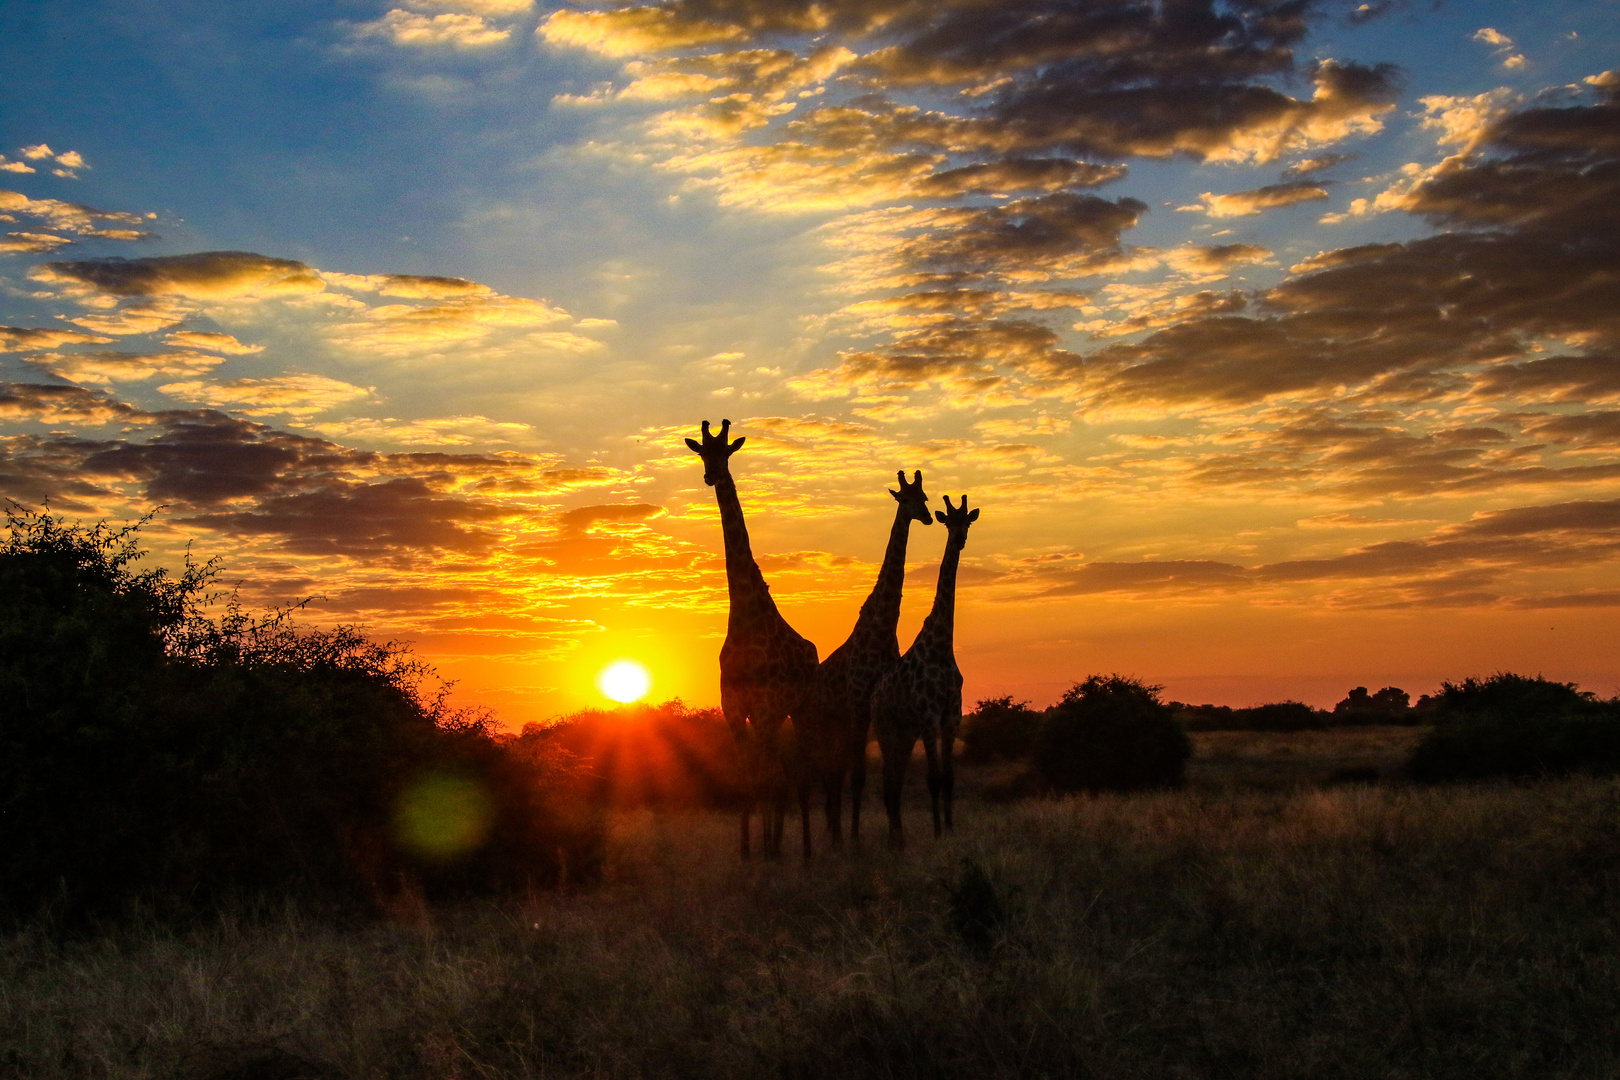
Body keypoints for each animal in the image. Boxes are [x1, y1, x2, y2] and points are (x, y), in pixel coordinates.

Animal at [683, 417, 816, 854]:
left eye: (727, 452)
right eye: (702, 453)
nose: (711, 475)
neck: (744, 613)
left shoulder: (766, 707)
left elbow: (765, 778)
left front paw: (767, 850)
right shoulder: (734, 709)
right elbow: (745, 777)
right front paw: (745, 849)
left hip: (800, 710)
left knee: (796, 772)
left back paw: (800, 849)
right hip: (773, 719)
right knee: (781, 771)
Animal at [790, 469, 933, 854]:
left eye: (925, 498)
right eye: (906, 498)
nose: (928, 518)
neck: (882, 629)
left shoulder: (873, 706)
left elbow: (878, 774)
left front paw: (887, 835)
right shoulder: (858, 704)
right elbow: (859, 775)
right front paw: (855, 838)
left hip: (836, 725)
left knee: (832, 775)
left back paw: (834, 833)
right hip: (816, 724)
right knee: (824, 773)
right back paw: (833, 836)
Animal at [868, 495, 978, 848]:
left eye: (967, 522)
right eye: (948, 522)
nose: (959, 540)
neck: (942, 646)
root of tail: (875, 691)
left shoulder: (951, 714)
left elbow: (950, 777)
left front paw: (951, 829)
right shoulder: (929, 714)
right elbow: (933, 778)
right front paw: (938, 832)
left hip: (906, 730)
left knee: (897, 779)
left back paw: (899, 835)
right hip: (886, 726)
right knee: (888, 779)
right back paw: (895, 839)